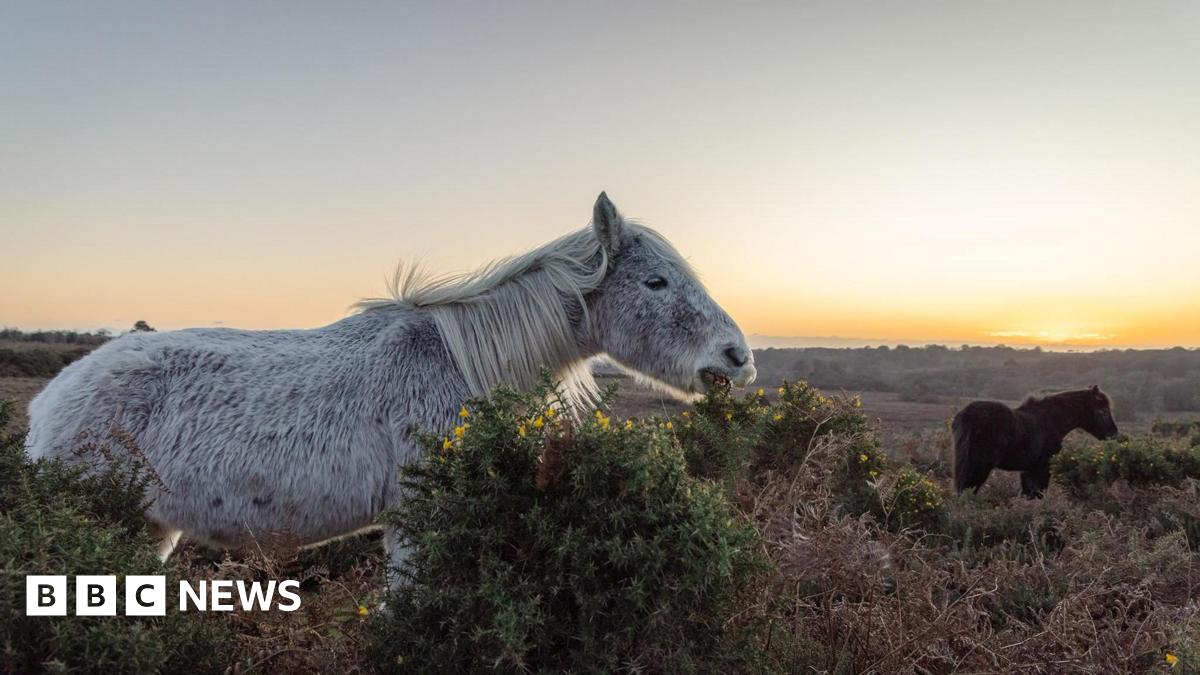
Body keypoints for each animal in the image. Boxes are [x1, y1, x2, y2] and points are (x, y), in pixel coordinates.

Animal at [952, 385, 1119, 498]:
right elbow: (1039, 494)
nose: (1113, 434)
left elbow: (1029, 495)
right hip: (979, 468)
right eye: (1102, 410)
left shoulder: (1029, 469)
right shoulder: (1042, 467)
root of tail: (968, 415)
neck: (1051, 420)